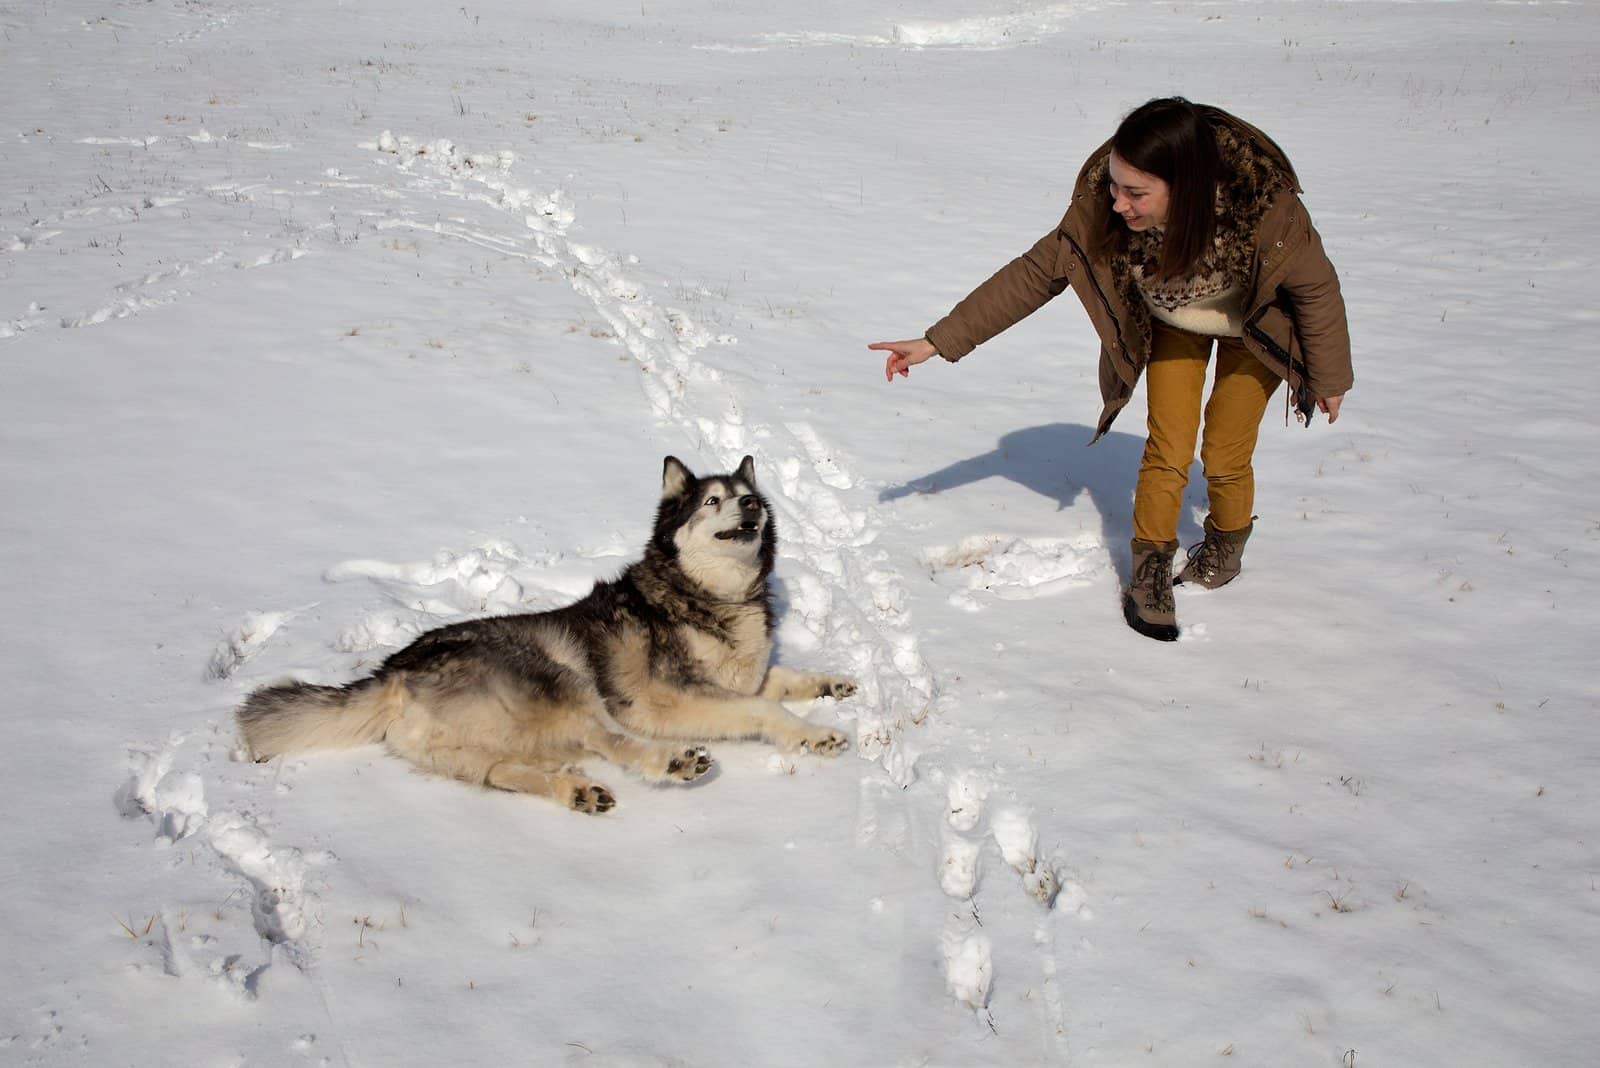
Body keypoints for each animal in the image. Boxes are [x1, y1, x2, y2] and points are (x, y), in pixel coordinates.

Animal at [235, 454, 857, 812]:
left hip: (462, 750)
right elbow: (764, 710)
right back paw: (669, 762)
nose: (751, 502)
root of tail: (391, 672)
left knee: (502, 772)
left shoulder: (743, 676)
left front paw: (832, 686)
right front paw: (814, 734)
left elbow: (783, 678)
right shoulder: (666, 698)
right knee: (606, 737)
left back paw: (574, 790)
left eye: (746, 496)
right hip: (562, 680)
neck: (708, 595)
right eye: (712, 500)